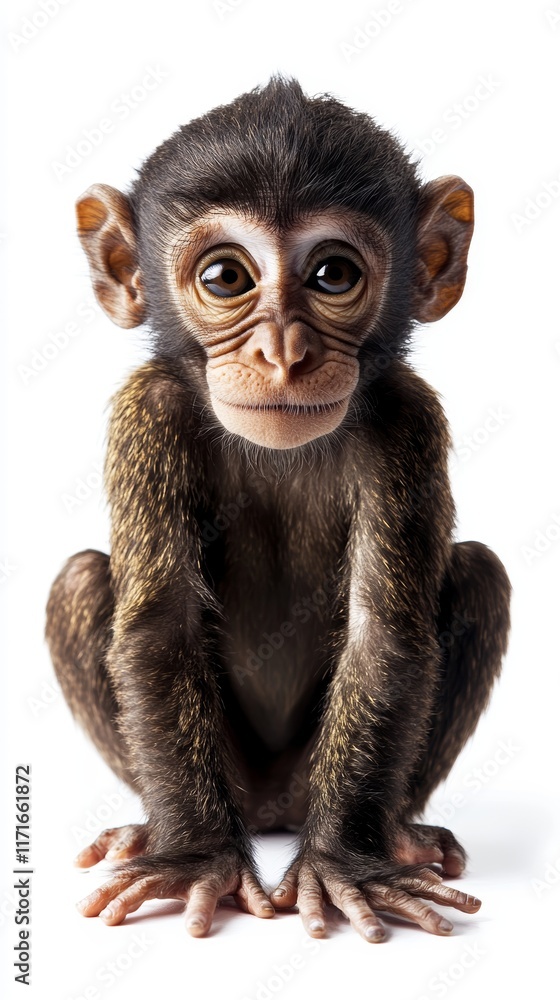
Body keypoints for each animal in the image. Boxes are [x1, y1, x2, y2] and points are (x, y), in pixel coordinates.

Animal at [45, 77, 511, 943]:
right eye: (226, 279)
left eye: (332, 274)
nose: (284, 352)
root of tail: (268, 813)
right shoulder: (146, 412)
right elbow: (160, 627)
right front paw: (195, 858)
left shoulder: (408, 419)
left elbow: (383, 634)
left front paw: (345, 862)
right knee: (82, 580)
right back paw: (151, 831)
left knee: (480, 573)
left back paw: (397, 834)